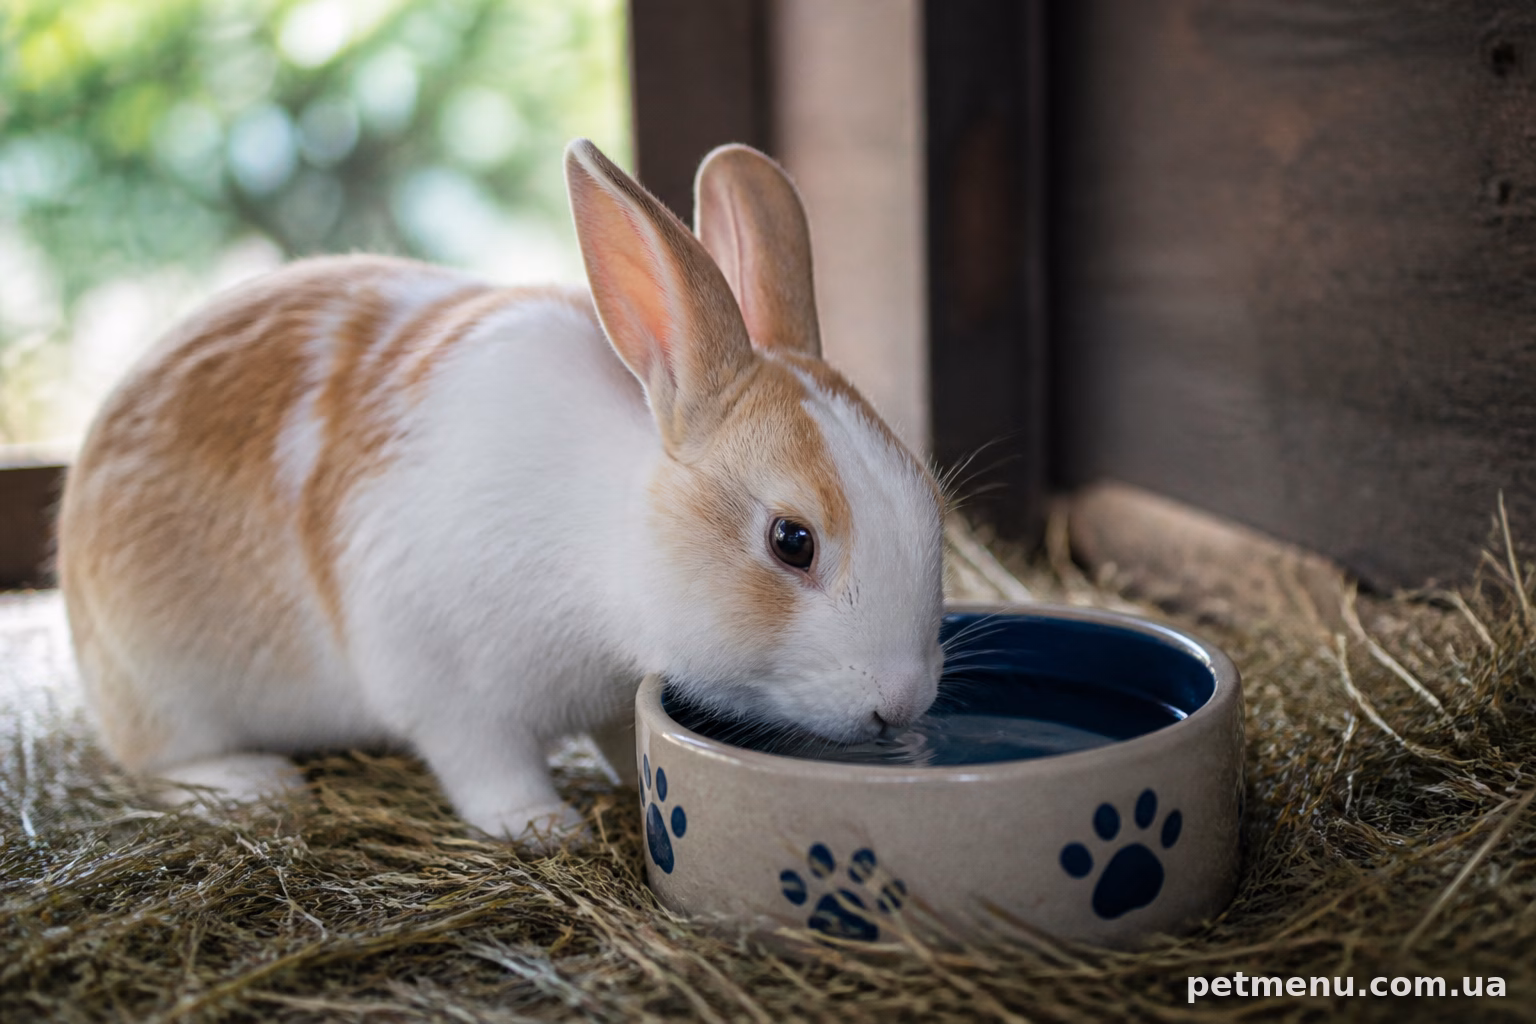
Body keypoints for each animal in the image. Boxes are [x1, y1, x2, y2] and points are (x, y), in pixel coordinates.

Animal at [56, 139, 946, 845]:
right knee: (162, 761)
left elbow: (622, 739)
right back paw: (257, 782)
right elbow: (486, 766)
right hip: (167, 689)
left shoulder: (608, 700)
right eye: (792, 540)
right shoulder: (448, 689)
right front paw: (544, 827)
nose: (902, 702)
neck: (606, 542)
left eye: (930, 498)